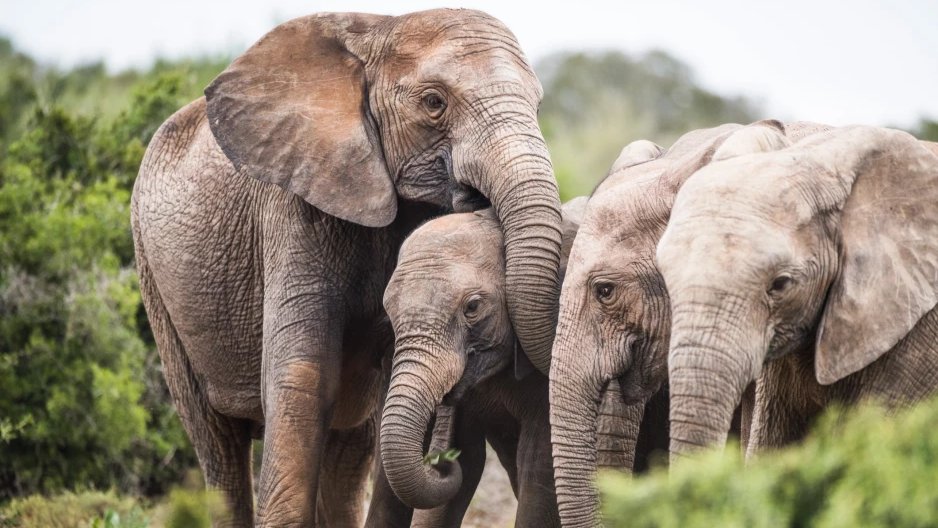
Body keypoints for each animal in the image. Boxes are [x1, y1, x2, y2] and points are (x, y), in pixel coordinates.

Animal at [128, 9, 560, 528]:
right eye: (434, 102)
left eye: (538, 105)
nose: (445, 462)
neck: (380, 29)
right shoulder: (294, 207)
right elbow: (303, 378)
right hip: (155, 281)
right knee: (218, 443)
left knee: (348, 449)